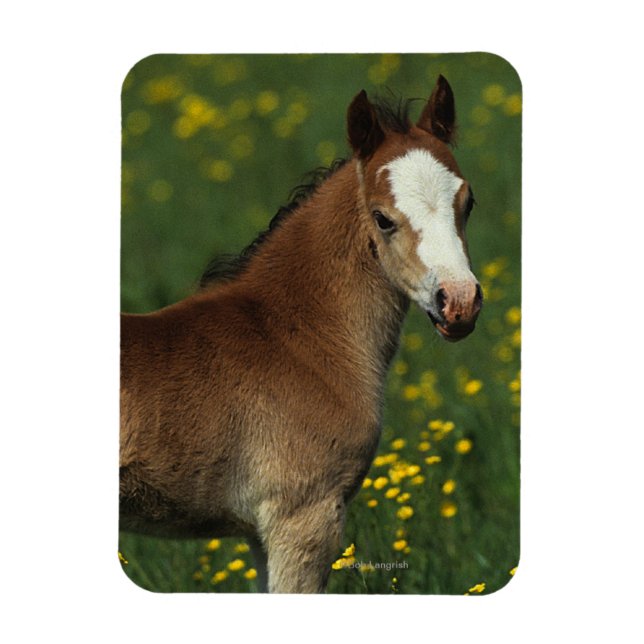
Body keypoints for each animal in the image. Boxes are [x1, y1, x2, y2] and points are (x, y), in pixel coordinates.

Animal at [120, 75, 482, 593]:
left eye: (468, 202)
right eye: (383, 218)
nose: (459, 302)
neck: (294, 339)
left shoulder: (260, 532)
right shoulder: (303, 516)